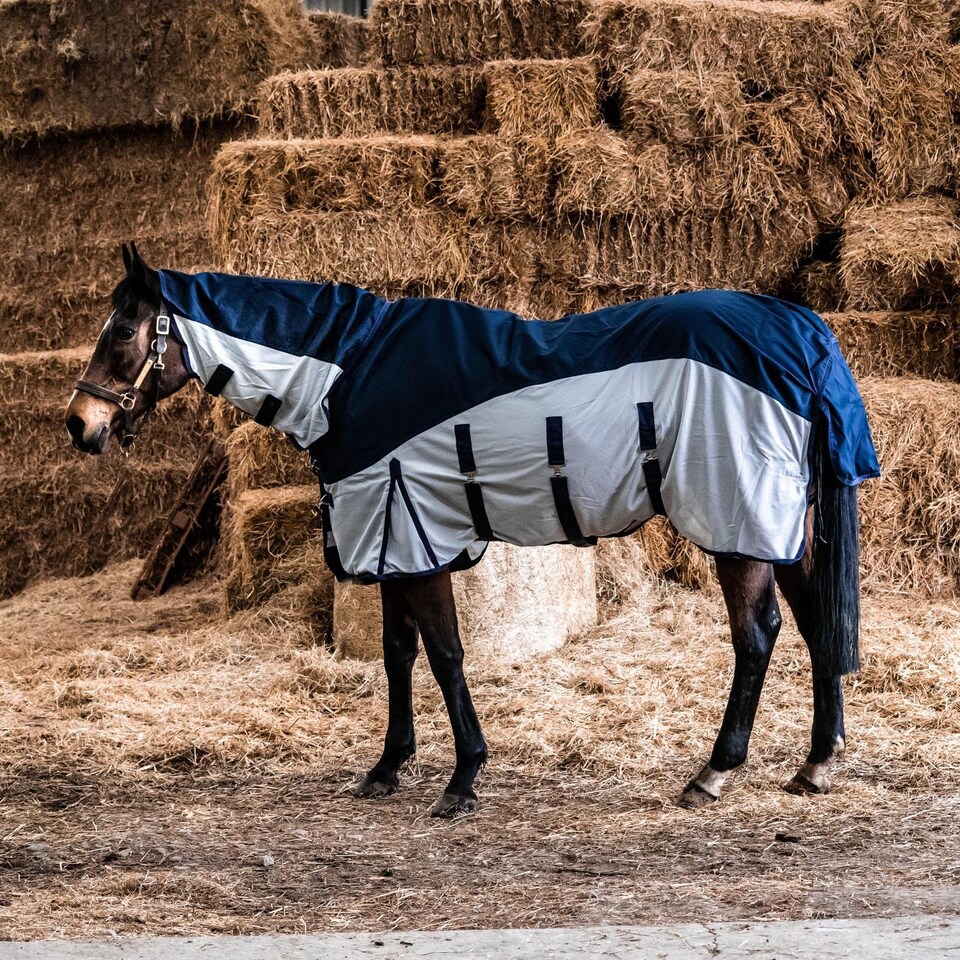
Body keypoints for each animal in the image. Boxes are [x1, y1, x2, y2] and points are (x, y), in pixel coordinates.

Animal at [65, 244, 879, 818]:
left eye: (126, 330)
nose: (80, 424)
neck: (346, 373)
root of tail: (799, 329)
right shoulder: (388, 541)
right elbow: (397, 655)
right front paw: (388, 766)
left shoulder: (412, 536)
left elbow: (446, 655)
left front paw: (462, 778)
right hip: (789, 527)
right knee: (817, 624)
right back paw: (816, 763)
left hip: (739, 524)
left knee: (758, 635)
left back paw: (714, 771)